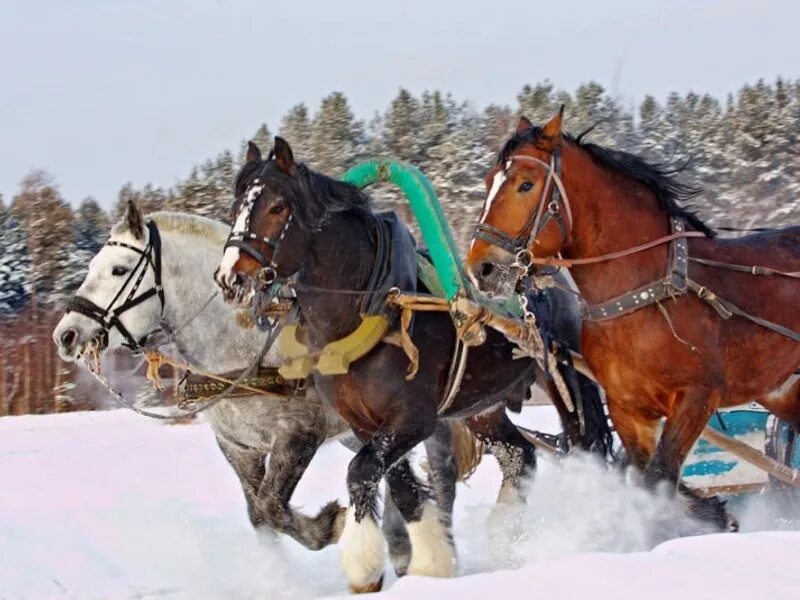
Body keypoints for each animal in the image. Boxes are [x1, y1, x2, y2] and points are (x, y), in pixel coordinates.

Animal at [53, 202, 466, 568]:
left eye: (119, 270)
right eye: (91, 266)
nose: (66, 335)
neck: (240, 345)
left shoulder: (297, 435)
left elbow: (271, 504)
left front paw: (329, 525)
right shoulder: (238, 447)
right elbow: (258, 514)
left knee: (441, 475)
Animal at [214, 138, 612, 592]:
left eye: (278, 206)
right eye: (235, 206)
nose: (230, 277)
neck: (372, 306)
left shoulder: (414, 417)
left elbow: (361, 469)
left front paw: (365, 564)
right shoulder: (365, 423)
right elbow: (400, 486)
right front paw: (431, 561)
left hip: (565, 379)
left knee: (587, 445)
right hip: (482, 406)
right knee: (520, 455)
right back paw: (504, 533)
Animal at [466, 109, 800, 528]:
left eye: (526, 184)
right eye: (488, 181)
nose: (482, 267)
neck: (645, 295)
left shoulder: (697, 396)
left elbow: (660, 481)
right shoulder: (628, 410)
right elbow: (647, 483)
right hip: (785, 391)